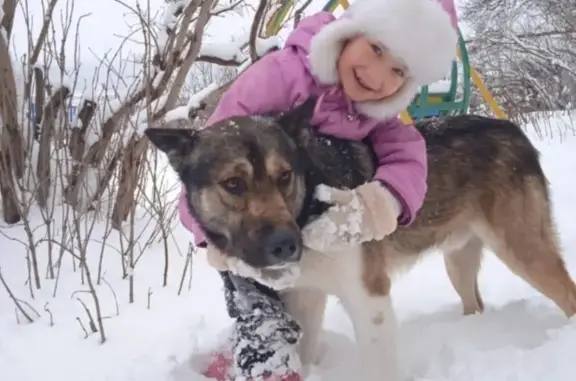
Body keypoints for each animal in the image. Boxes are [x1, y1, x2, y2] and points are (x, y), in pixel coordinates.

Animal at [146, 98, 576, 380]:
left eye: (285, 175)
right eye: (233, 184)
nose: (286, 245)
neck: (308, 208)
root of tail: (512, 128)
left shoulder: (369, 298)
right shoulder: (304, 299)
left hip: (523, 250)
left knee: (567, 295)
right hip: (459, 261)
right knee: (475, 303)